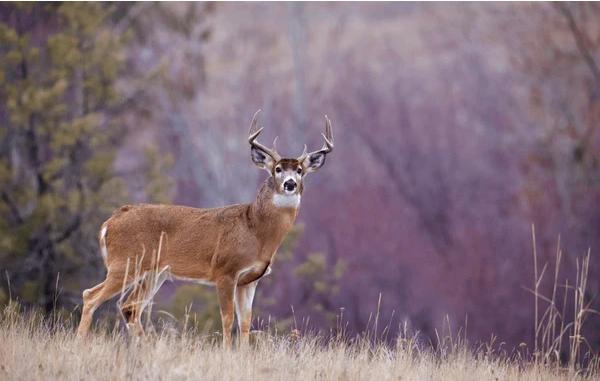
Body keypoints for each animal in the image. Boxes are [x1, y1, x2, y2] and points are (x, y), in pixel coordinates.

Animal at [76, 110, 332, 348]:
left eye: (299, 170)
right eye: (277, 169)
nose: (290, 184)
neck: (255, 231)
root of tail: (110, 222)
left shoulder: (250, 280)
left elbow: (246, 322)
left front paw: (243, 355)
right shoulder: (225, 271)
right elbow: (227, 319)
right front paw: (227, 353)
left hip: (154, 272)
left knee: (129, 306)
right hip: (124, 262)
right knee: (91, 296)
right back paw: (82, 342)